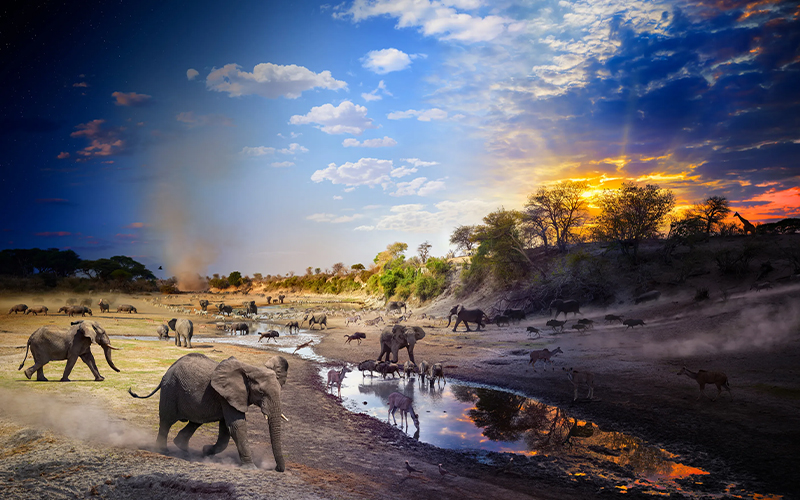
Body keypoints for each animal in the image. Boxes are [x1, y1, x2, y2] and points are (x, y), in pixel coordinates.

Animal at [128, 353, 289, 471]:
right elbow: (236, 426)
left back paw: (184, 450)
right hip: (170, 390)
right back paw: (164, 451)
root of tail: (166, 372)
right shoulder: (227, 395)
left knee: (195, 421)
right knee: (167, 421)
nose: (276, 468)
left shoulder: (228, 396)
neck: (250, 369)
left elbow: (226, 429)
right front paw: (251, 468)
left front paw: (206, 451)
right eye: (261, 392)